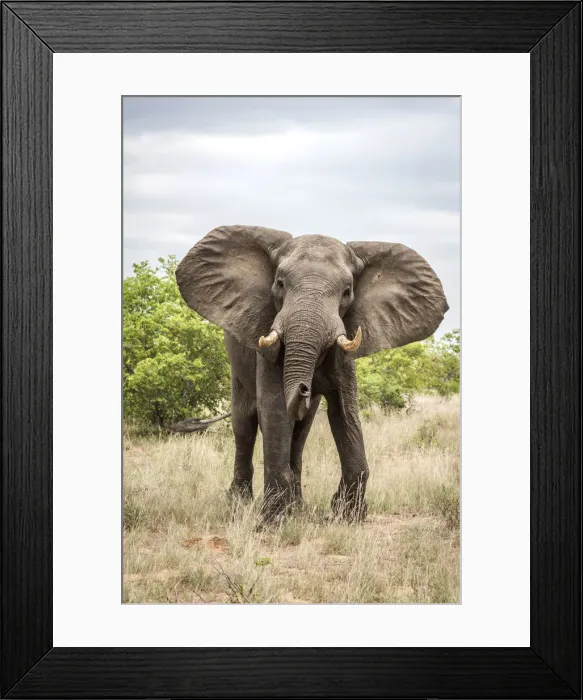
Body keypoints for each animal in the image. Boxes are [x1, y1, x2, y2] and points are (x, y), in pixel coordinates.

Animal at [176, 225, 448, 522]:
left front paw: (347, 515)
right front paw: (274, 521)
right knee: (245, 424)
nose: (305, 388)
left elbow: (345, 413)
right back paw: (241, 505)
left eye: (347, 292)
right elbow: (274, 409)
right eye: (280, 283)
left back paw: (298, 507)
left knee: (300, 432)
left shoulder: (345, 351)